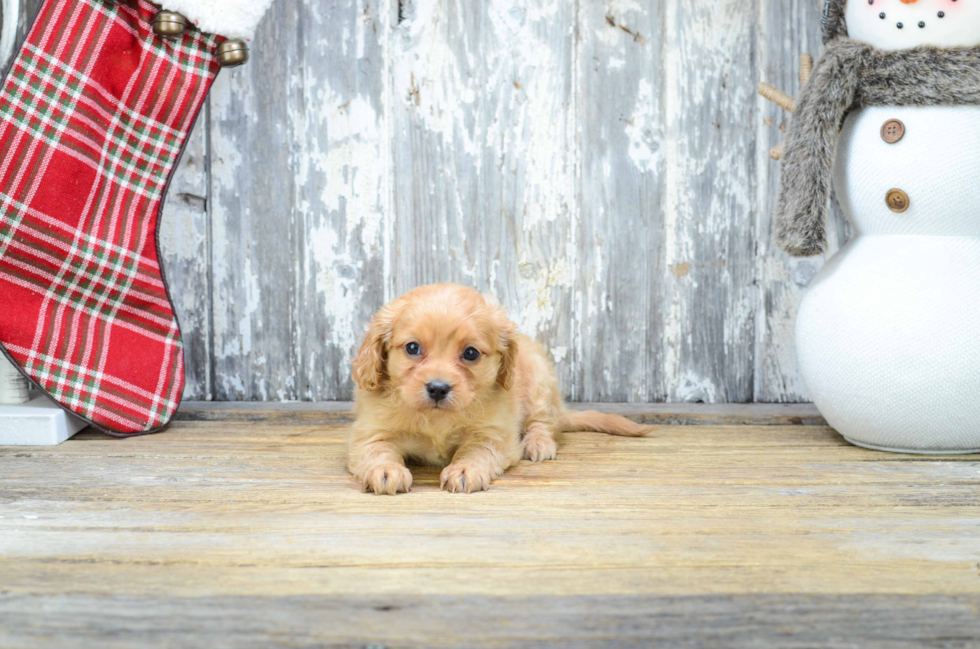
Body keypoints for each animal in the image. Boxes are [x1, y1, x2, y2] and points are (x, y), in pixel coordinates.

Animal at [344, 280, 652, 494]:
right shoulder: (370, 433)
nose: (438, 388)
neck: (437, 419)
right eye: (412, 348)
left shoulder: (494, 434)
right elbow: (378, 450)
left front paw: (465, 469)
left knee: (545, 422)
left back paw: (538, 443)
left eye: (470, 353)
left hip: (539, 379)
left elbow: (476, 450)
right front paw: (386, 470)